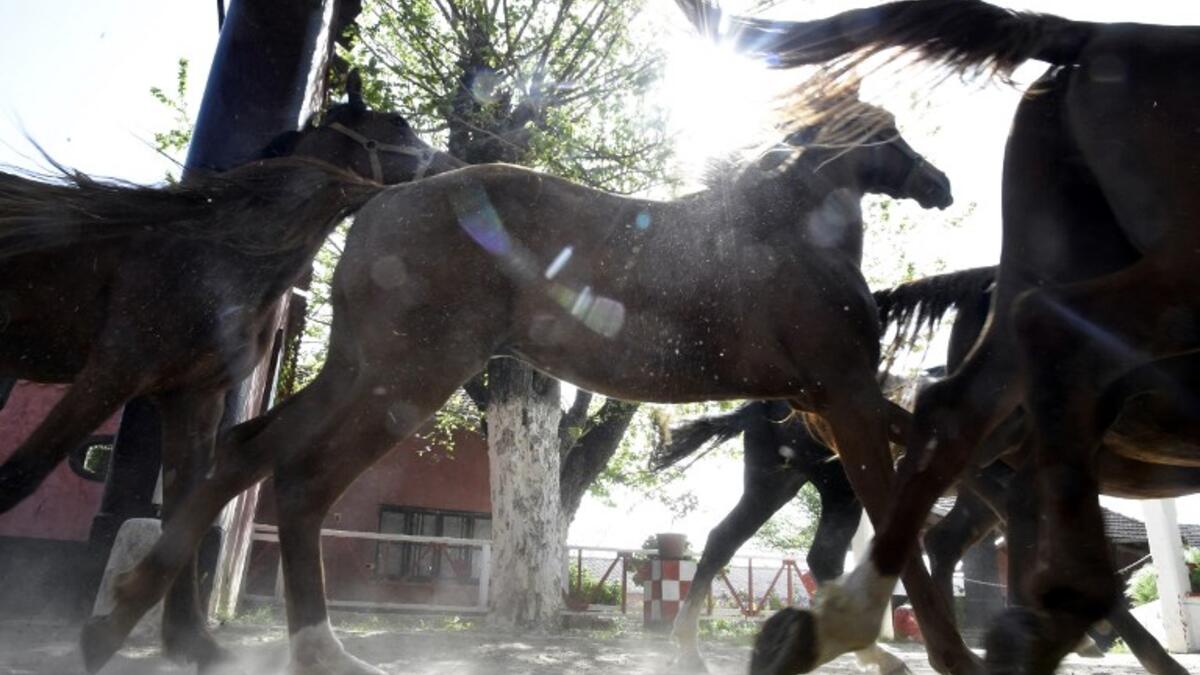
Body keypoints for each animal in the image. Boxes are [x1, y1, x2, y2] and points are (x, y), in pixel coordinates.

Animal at [0, 78, 461, 669]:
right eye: (398, 122)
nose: (453, 164)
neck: (223, 255)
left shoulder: (193, 397)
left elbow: (184, 508)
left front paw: (189, 639)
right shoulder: (116, 369)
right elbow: (23, 474)